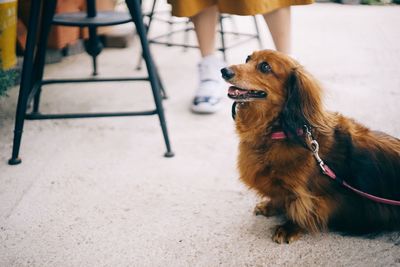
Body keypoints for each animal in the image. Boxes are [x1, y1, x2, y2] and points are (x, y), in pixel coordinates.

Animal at [222, 49, 400, 245]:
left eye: (265, 67)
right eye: (248, 58)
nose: (224, 71)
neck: (278, 131)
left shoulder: (309, 195)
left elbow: (302, 208)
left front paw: (289, 227)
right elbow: (279, 196)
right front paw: (271, 206)